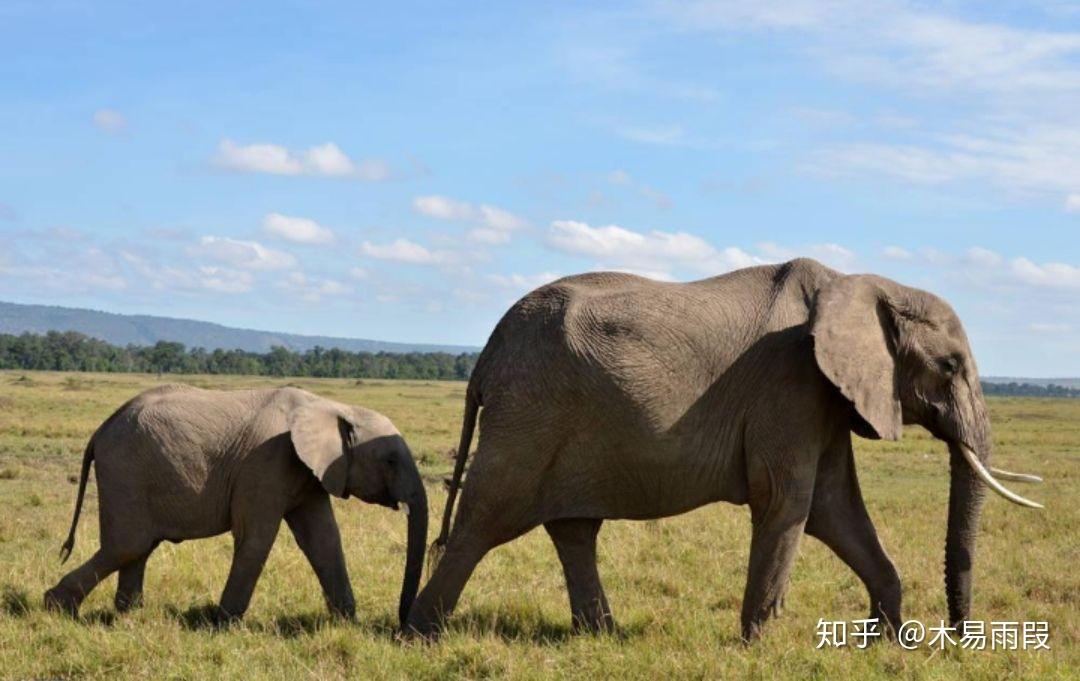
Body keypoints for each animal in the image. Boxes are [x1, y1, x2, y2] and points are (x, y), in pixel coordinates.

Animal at [44, 384, 427, 630]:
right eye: (391, 460)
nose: (400, 622)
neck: (332, 405)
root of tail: (100, 430)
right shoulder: (267, 462)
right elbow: (256, 537)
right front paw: (224, 625)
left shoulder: (309, 472)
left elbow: (323, 539)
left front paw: (346, 623)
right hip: (125, 470)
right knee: (128, 544)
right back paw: (58, 609)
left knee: (139, 547)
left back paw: (130, 616)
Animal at [406, 257, 1036, 643]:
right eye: (949, 366)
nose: (955, 639)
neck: (861, 283)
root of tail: (487, 353)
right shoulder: (791, 383)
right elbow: (788, 501)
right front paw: (757, 644)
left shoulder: (824, 397)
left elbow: (835, 506)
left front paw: (883, 642)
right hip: (530, 411)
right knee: (486, 518)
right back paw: (419, 634)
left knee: (573, 529)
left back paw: (603, 636)